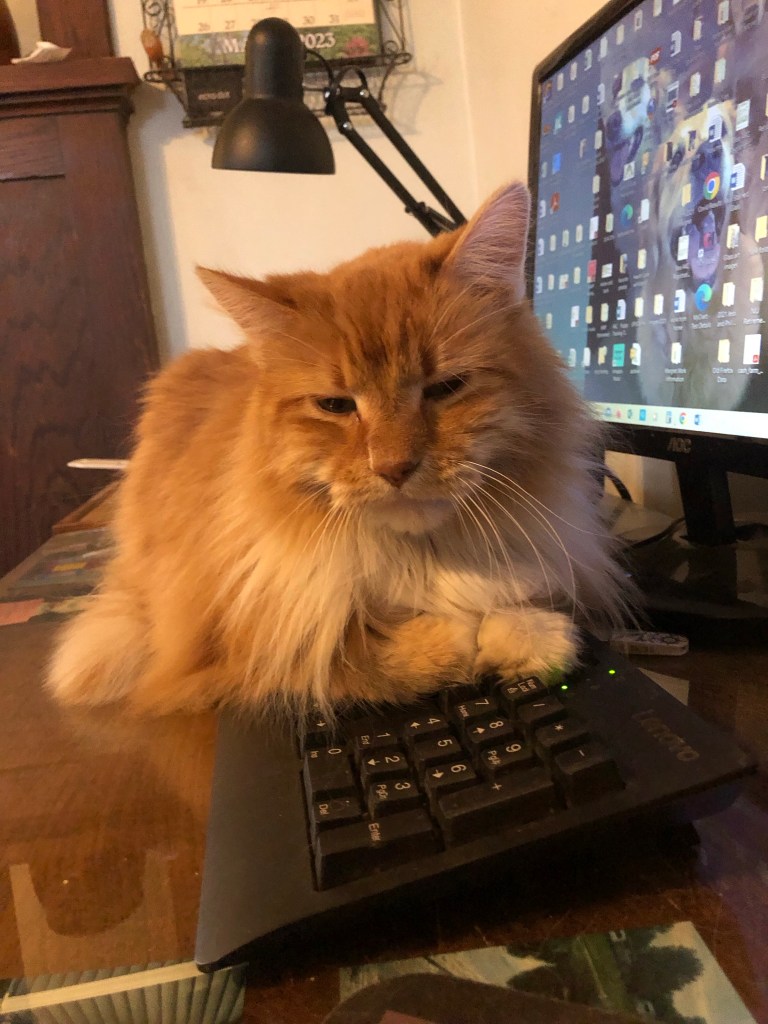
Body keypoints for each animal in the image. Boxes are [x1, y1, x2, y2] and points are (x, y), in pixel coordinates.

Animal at [46, 182, 629, 717]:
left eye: (445, 387)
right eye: (335, 405)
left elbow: (515, 605)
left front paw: (530, 636)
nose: (394, 468)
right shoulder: (230, 652)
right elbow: (344, 655)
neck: (422, 556)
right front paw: (454, 640)